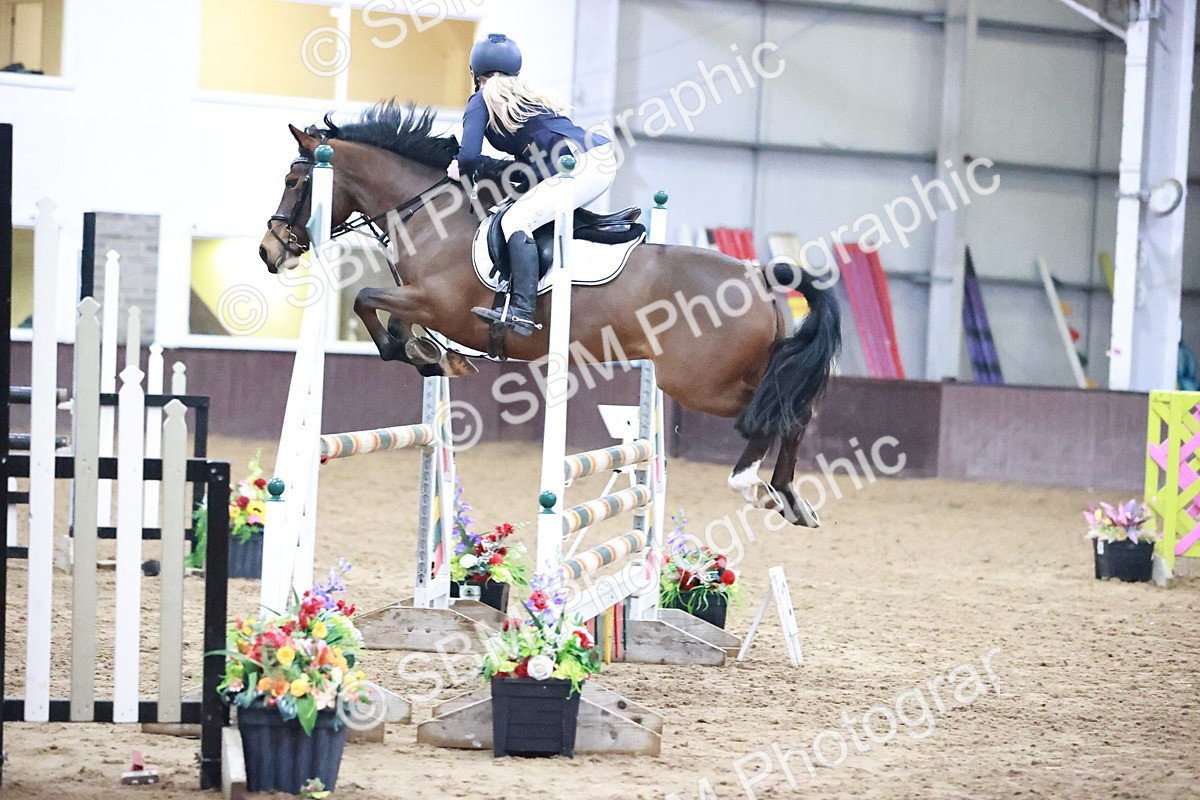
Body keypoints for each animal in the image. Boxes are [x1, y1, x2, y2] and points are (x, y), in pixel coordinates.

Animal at [258, 103, 840, 527]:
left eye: (294, 182)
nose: (269, 252)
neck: (430, 216)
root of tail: (759, 276)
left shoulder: (437, 304)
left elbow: (368, 301)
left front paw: (424, 355)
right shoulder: (419, 300)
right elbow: (395, 321)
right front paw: (431, 357)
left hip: (700, 382)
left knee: (775, 412)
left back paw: (753, 485)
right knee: (796, 409)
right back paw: (788, 496)